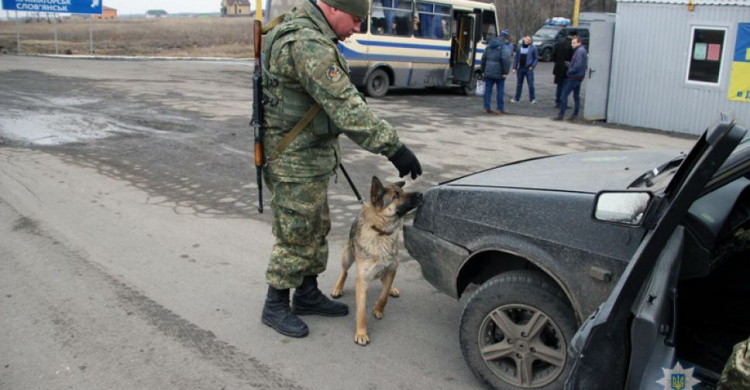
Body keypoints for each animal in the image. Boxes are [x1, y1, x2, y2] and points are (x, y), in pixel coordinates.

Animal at [334, 176, 424, 344]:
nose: (421, 194)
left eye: (402, 191)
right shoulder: (362, 281)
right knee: (344, 272)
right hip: (348, 255)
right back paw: (337, 288)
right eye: (396, 196)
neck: (381, 233)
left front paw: (378, 308)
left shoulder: (391, 270)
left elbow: (384, 296)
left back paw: (392, 289)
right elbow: (361, 311)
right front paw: (361, 333)